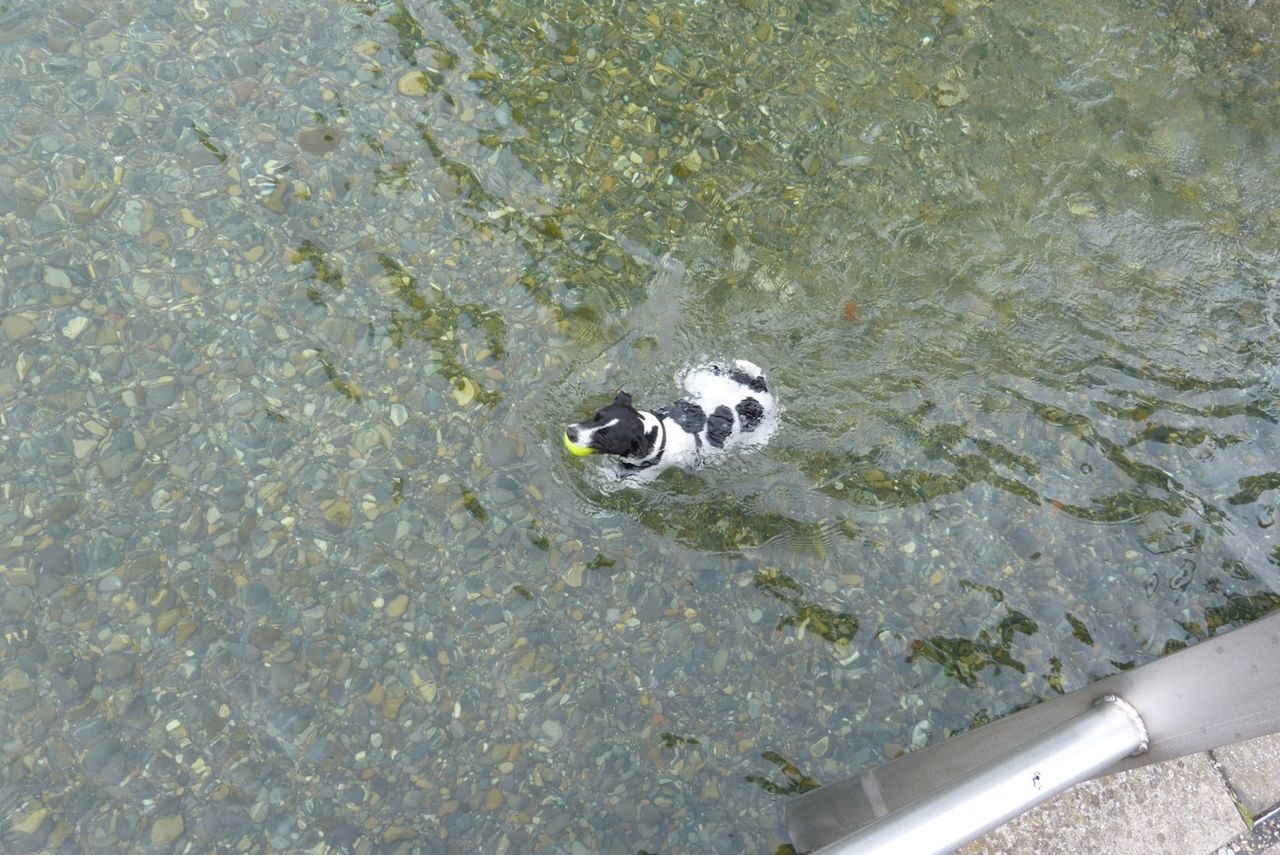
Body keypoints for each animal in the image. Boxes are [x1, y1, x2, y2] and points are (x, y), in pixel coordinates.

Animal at [563, 358, 778, 483]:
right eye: (597, 415)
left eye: (606, 437)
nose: (570, 432)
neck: (659, 437)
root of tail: (757, 386)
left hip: (759, 436)